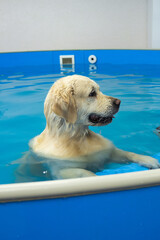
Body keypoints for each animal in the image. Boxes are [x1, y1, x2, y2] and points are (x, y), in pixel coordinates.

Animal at [15, 74, 159, 181]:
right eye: (92, 93)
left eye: (99, 90)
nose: (119, 102)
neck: (77, 137)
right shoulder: (61, 170)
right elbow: (86, 173)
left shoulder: (108, 153)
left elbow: (128, 153)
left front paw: (149, 160)